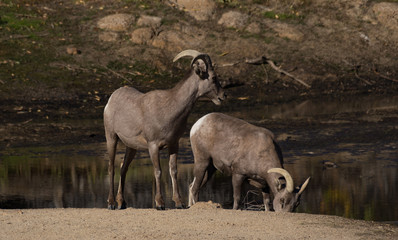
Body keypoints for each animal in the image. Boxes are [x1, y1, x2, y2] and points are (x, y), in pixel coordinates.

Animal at [104, 49, 225, 210]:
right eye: (213, 77)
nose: (222, 96)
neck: (168, 109)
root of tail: (111, 99)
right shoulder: (153, 145)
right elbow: (158, 171)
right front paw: (160, 203)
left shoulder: (174, 144)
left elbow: (173, 171)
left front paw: (179, 203)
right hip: (111, 137)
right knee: (111, 167)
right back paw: (111, 203)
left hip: (132, 147)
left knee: (123, 168)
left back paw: (122, 203)